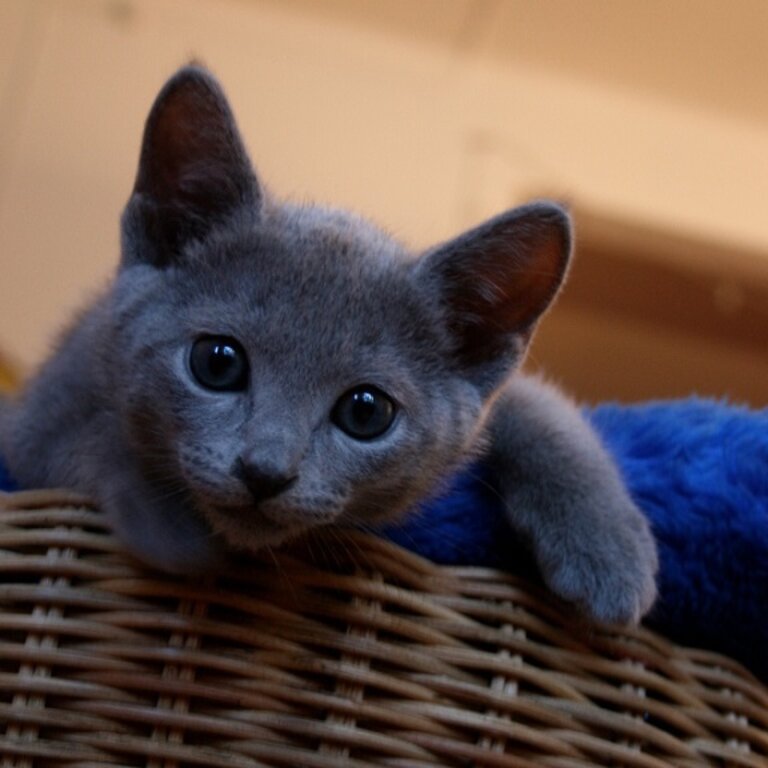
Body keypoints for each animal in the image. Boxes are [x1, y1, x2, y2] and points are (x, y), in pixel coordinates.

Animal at [1, 66, 656, 624]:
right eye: (217, 363)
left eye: (365, 412)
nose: (265, 472)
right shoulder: (40, 421)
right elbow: (88, 442)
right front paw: (163, 519)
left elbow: (541, 406)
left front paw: (607, 551)